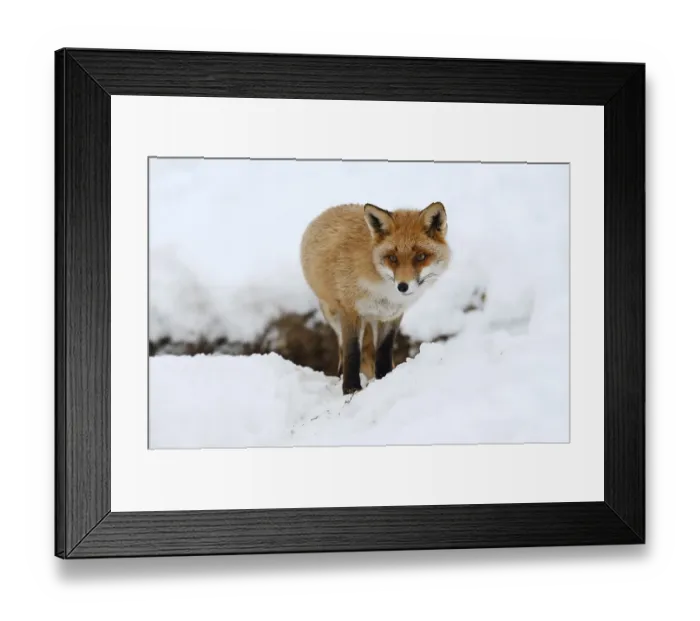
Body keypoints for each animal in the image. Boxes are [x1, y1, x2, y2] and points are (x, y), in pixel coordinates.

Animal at [300, 201, 451, 395]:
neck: (382, 290)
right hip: (333, 314)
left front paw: (385, 378)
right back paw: (341, 376)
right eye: (392, 258)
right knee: (342, 348)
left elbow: (384, 350)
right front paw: (351, 388)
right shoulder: (350, 310)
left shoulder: (392, 315)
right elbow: (352, 352)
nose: (403, 286)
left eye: (421, 256)